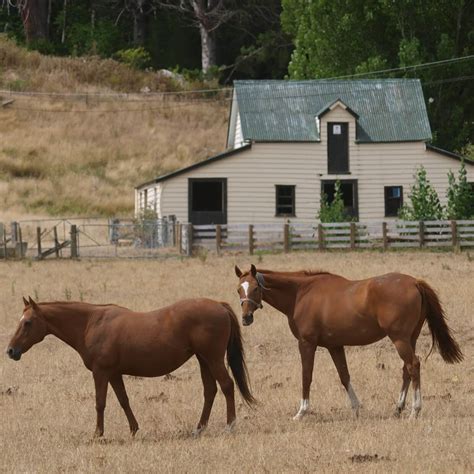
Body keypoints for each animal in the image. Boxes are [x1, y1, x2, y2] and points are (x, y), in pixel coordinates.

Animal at [5, 296, 256, 436]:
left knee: (226, 385)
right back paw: (199, 428)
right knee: (210, 390)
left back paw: (229, 425)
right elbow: (123, 401)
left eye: (28, 323)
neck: (90, 323)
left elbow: (100, 403)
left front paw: (98, 434)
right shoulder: (114, 374)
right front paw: (134, 429)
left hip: (213, 358)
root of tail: (219, 305)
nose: (10, 351)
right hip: (203, 359)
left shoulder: (101, 373)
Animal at [235, 266, 464, 418]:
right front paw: (356, 408)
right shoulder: (335, 346)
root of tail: (414, 282)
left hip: (400, 339)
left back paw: (415, 410)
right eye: (239, 289)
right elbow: (344, 376)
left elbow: (306, 376)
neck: (301, 293)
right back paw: (398, 408)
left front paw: (302, 411)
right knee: (406, 370)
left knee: (413, 365)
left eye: (255, 288)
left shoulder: (307, 344)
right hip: (410, 339)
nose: (246, 318)